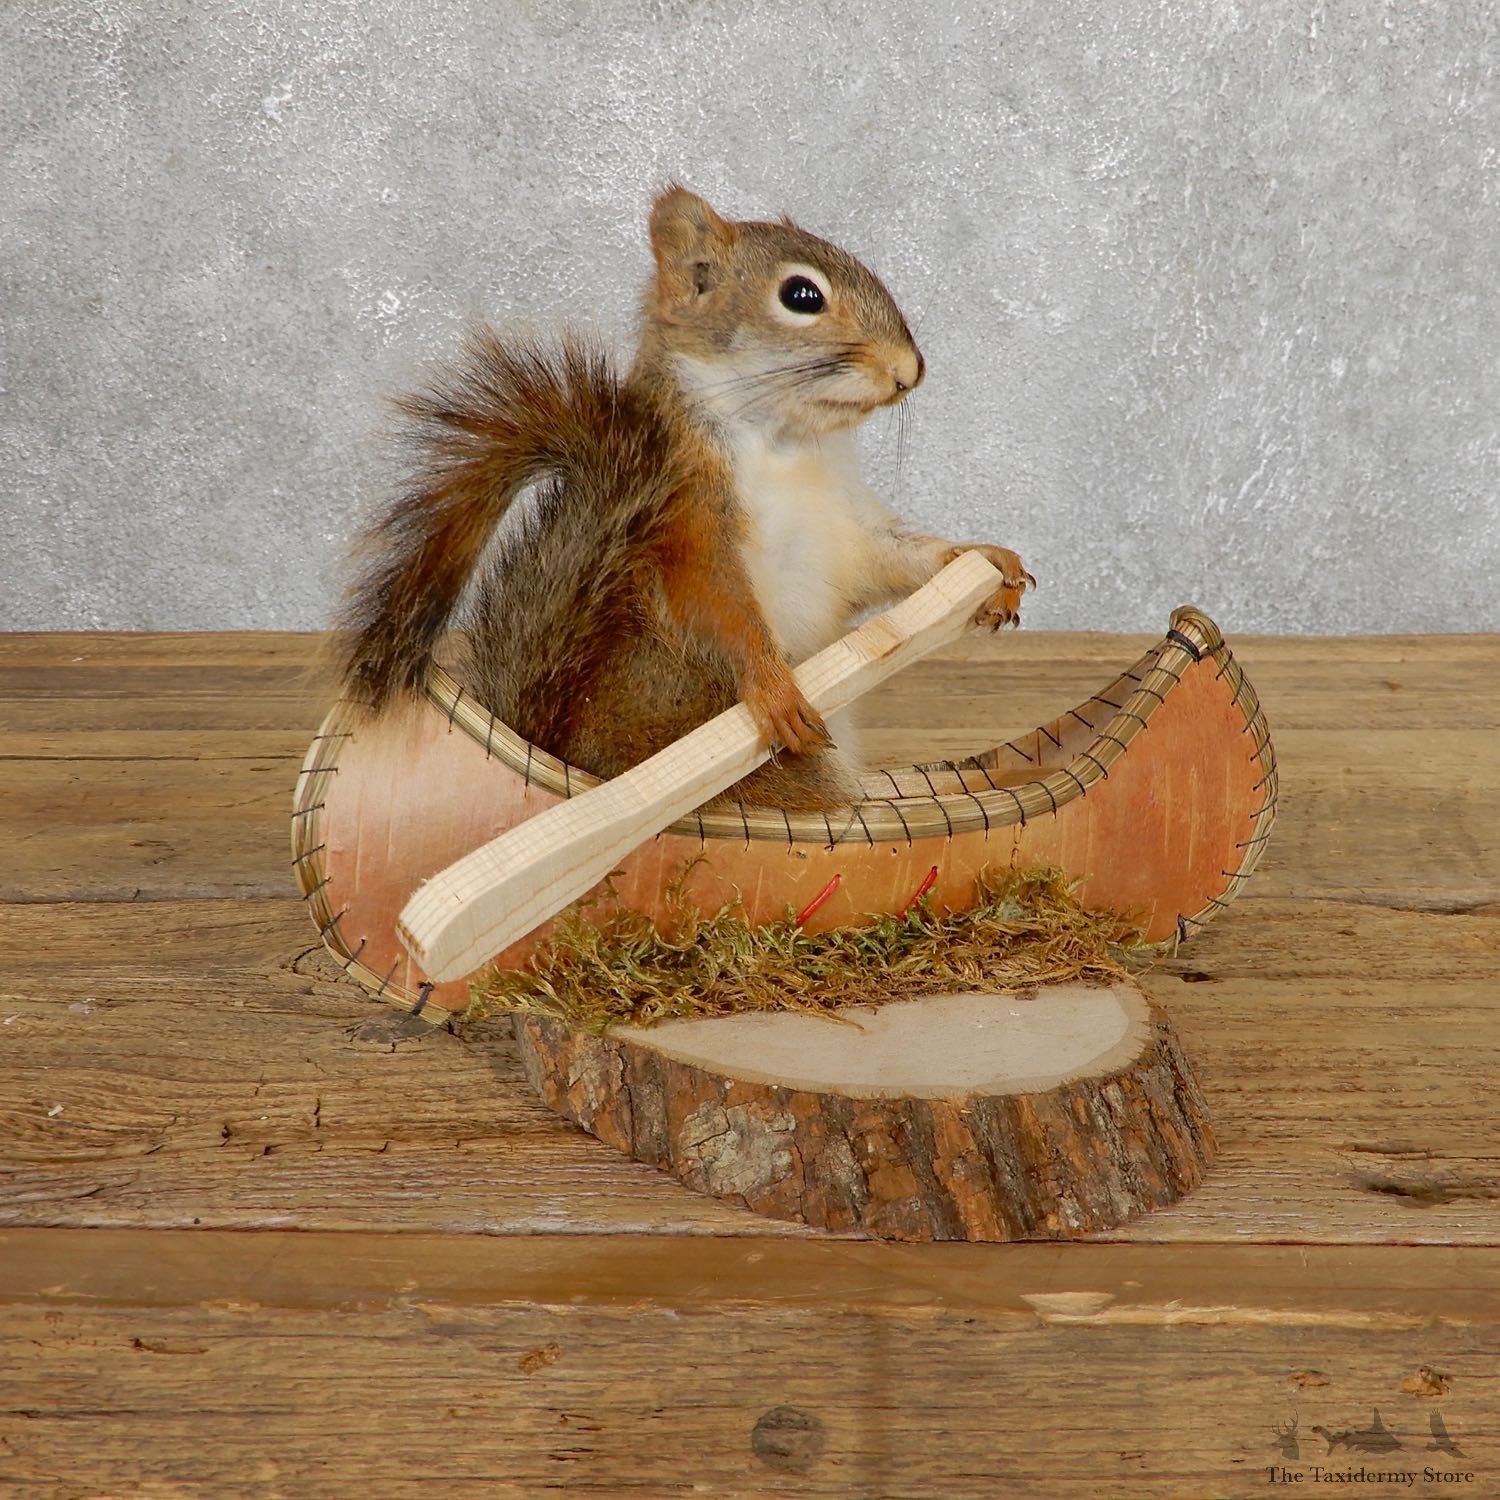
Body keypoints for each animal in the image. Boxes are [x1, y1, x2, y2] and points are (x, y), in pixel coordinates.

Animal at [338, 185, 1033, 810]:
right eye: (801, 295)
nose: (909, 370)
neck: (786, 446)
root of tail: (565, 761)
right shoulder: (684, 519)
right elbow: (715, 606)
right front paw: (771, 685)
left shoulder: (849, 527)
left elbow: (895, 560)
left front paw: (983, 561)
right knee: (828, 803)